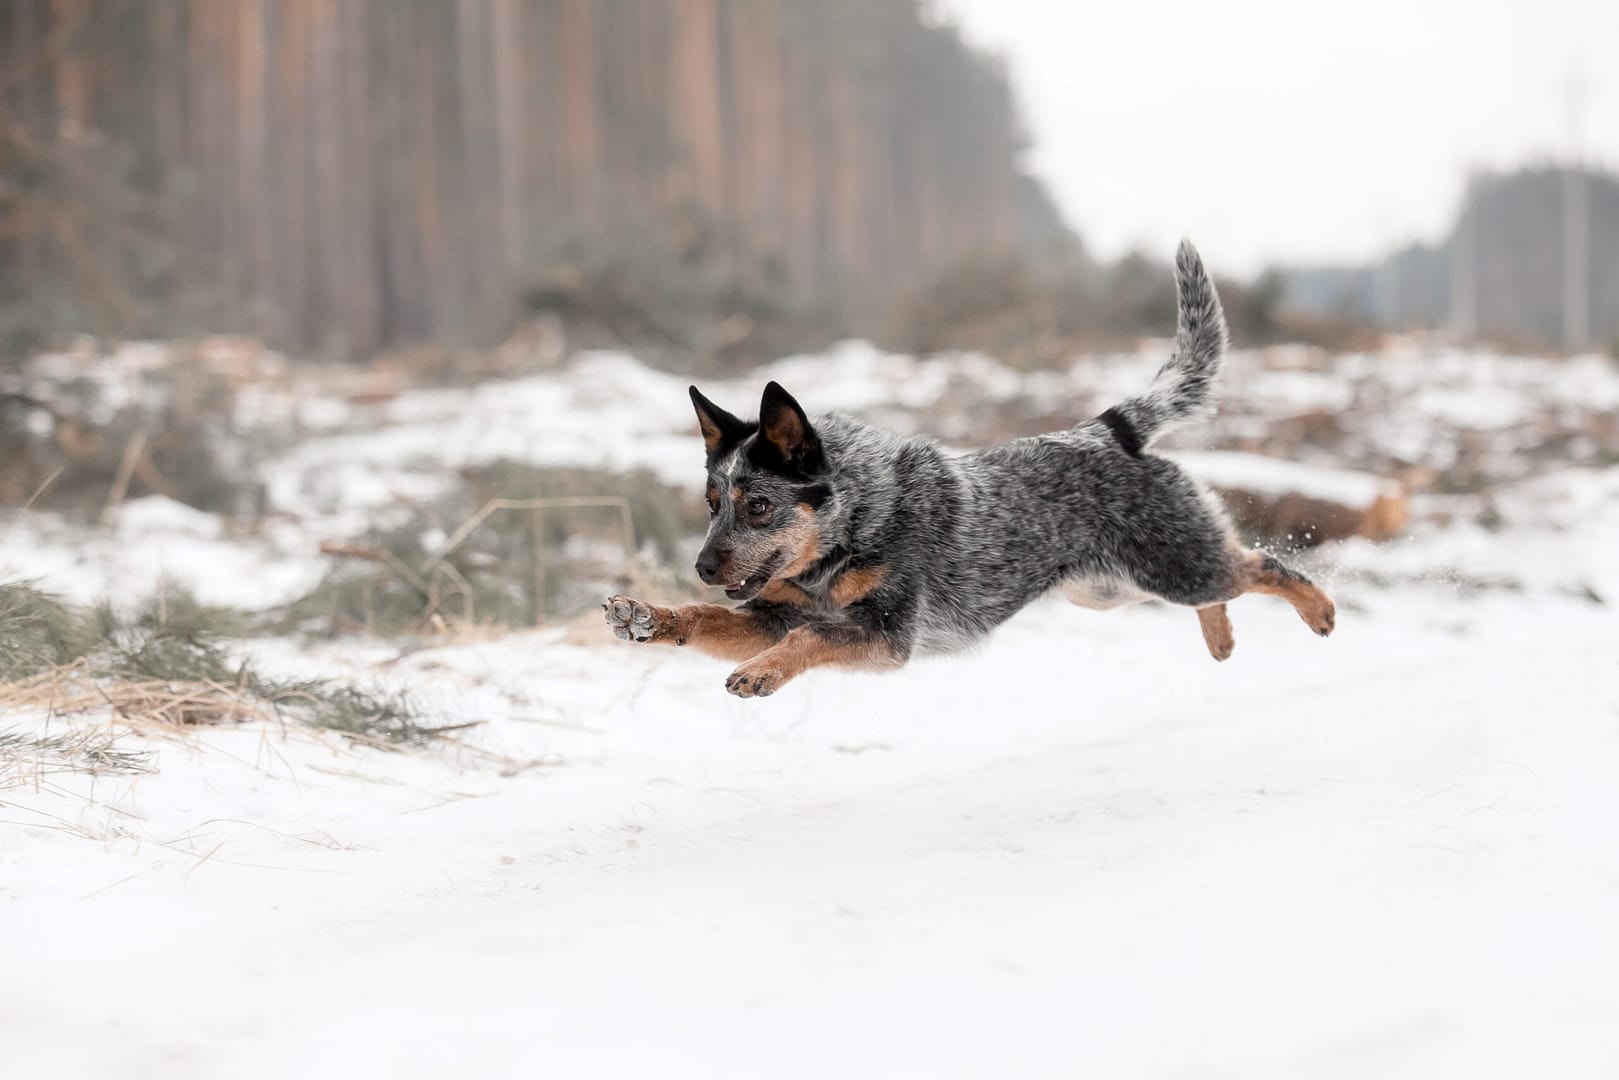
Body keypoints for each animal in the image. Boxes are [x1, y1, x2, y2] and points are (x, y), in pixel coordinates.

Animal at [602, 242, 1334, 702]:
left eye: (756, 504)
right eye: (711, 502)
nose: (701, 565)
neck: (856, 521)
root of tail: (1106, 428)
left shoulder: (884, 635)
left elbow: (810, 636)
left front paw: (763, 673)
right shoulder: (770, 615)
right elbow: (708, 619)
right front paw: (649, 617)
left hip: (1168, 568)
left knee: (1263, 565)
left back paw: (1321, 610)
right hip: (1106, 588)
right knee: (1229, 579)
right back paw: (1221, 638)